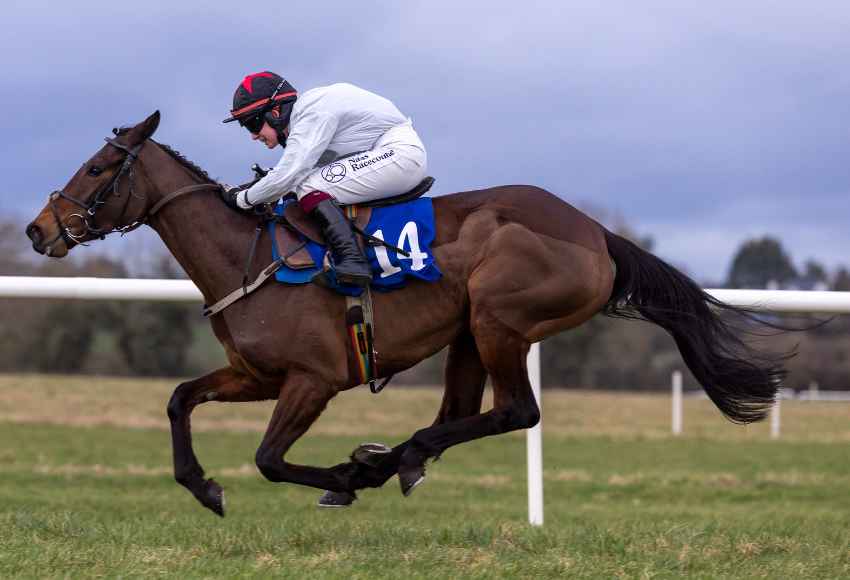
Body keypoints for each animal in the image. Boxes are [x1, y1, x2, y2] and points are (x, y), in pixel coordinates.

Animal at [24, 112, 780, 516]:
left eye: (98, 168)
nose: (38, 229)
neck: (247, 255)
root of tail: (597, 233)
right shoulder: (257, 376)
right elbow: (180, 398)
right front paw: (204, 487)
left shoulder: (312, 380)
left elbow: (269, 458)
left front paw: (337, 480)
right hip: (470, 331)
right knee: (462, 413)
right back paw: (392, 459)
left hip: (500, 317)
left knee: (516, 411)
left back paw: (387, 460)